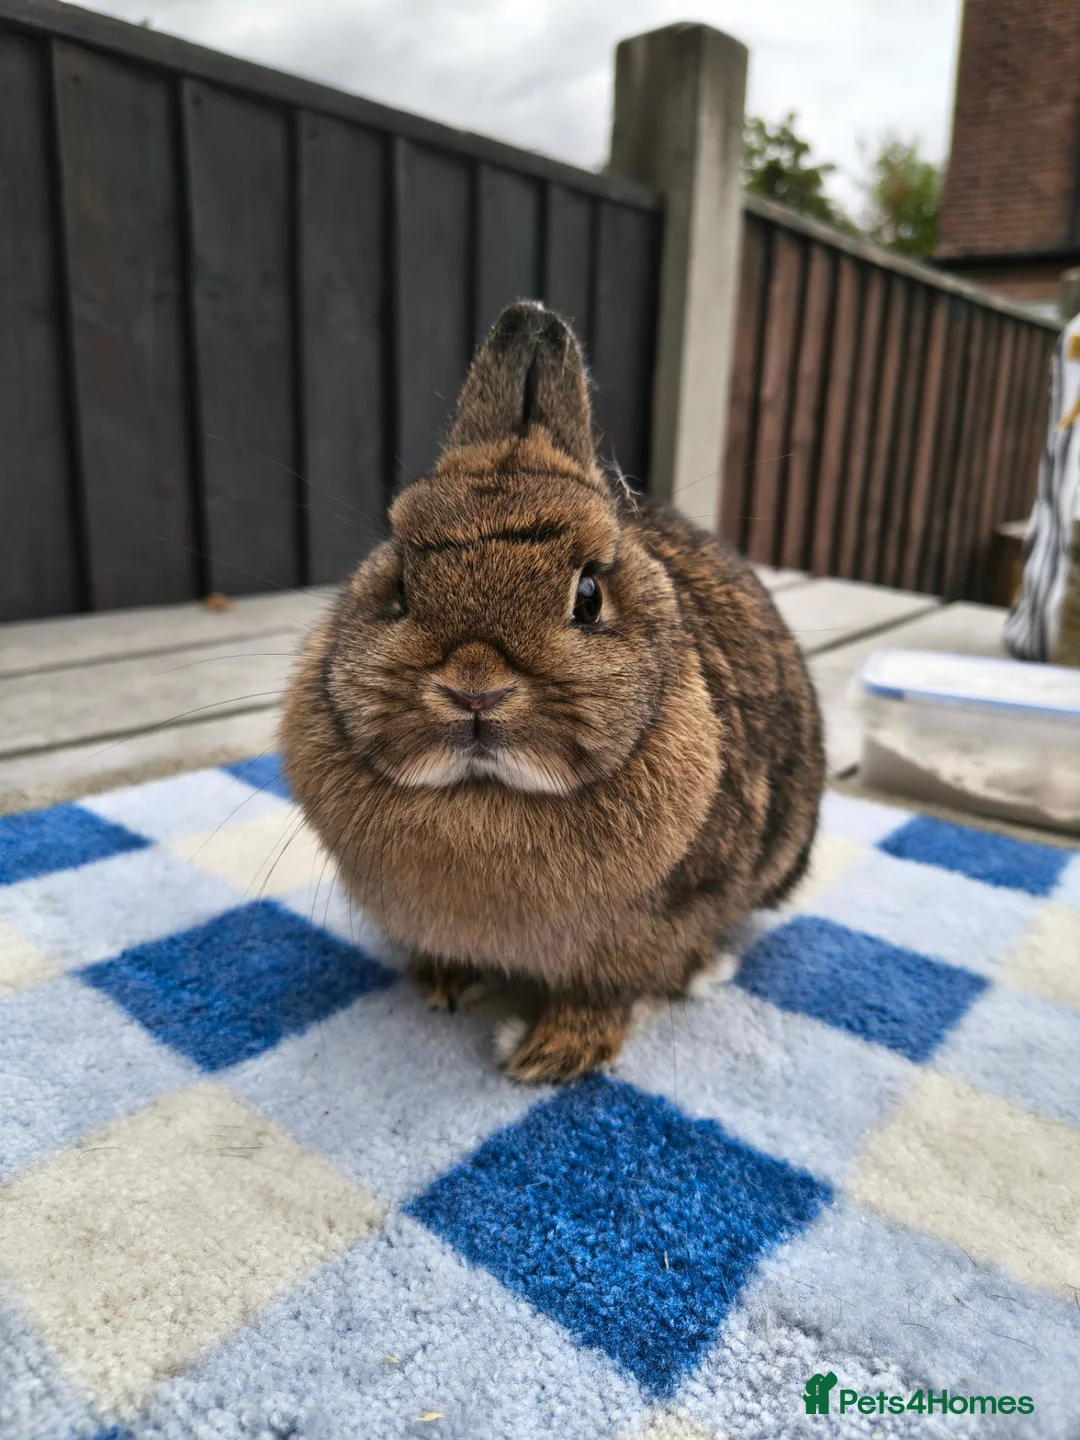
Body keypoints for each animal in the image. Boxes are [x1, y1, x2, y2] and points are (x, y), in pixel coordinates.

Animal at [281, 300, 824, 1083]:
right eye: (400, 586)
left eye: (589, 595)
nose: (475, 692)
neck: (485, 798)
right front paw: (441, 984)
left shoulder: (644, 935)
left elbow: (602, 991)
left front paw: (550, 1057)